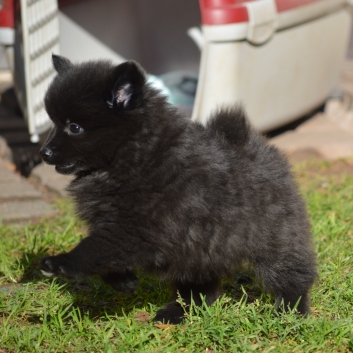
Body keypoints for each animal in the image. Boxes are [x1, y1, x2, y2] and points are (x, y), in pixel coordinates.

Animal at [38, 54, 316, 322]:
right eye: (53, 123)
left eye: (74, 127)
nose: (44, 152)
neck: (134, 156)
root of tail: (253, 143)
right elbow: (105, 254)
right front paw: (123, 281)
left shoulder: (140, 232)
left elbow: (94, 248)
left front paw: (63, 263)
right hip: (202, 248)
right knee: (201, 288)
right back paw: (178, 313)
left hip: (274, 236)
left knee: (290, 274)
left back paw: (291, 311)